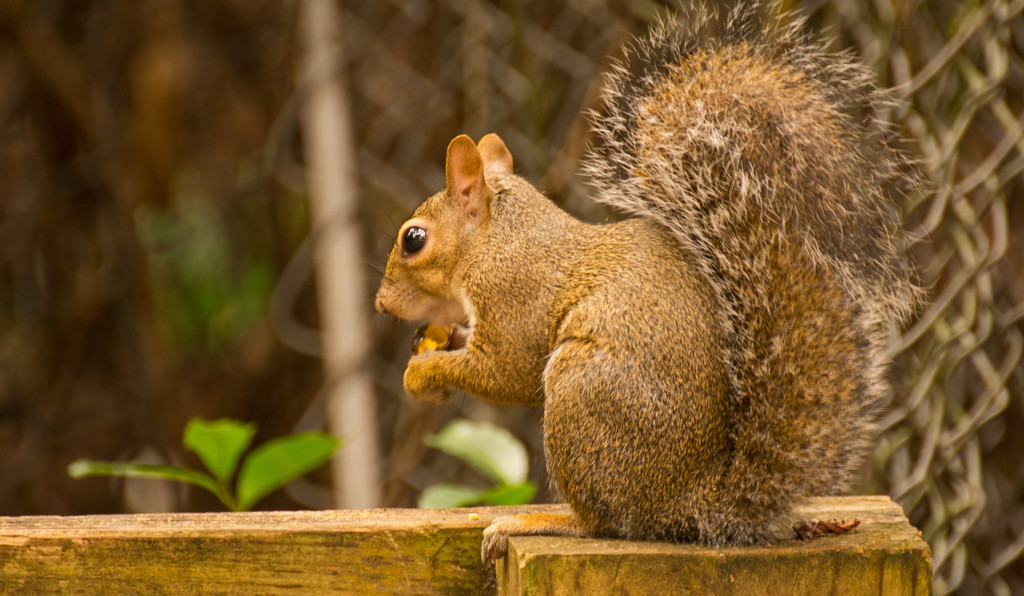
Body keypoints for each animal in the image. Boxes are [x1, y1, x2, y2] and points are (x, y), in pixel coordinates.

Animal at [372, 2, 917, 569]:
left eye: (413, 239)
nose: (382, 304)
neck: (498, 240)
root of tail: (690, 502)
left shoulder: (514, 296)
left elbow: (507, 373)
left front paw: (423, 371)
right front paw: (438, 342)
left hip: (582, 394)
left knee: (602, 523)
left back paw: (542, 522)